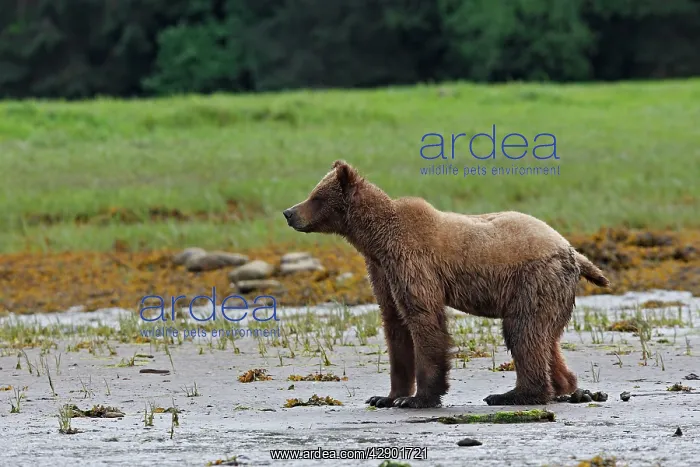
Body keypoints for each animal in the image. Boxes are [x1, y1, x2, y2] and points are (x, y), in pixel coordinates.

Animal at [282, 160, 611, 408]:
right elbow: (394, 325)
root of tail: (573, 251)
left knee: (524, 332)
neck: (375, 241)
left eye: (316, 196)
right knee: (545, 337)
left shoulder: (412, 262)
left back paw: (512, 394)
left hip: (533, 280)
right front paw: (386, 397)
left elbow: (424, 320)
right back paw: (566, 387)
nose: (288, 212)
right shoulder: (382, 272)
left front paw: (418, 398)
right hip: (550, 290)